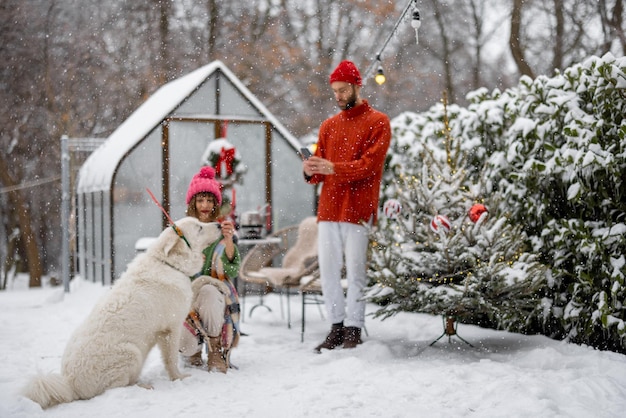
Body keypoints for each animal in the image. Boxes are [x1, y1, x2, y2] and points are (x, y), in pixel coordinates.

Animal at [22, 216, 222, 408]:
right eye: (199, 228)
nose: (220, 225)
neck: (169, 264)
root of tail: (69, 384)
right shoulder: (170, 330)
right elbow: (171, 360)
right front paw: (179, 378)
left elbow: (200, 280)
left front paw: (218, 284)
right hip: (132, 353)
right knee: (116, 388)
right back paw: (144, 386)